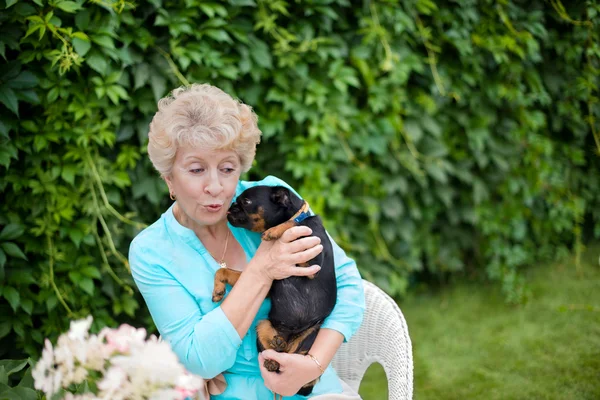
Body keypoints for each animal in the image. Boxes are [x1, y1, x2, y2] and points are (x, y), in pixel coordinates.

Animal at [211, 186, 336, 396]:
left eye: (246, 202)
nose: (231, 207)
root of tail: (288, 340)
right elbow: (224, 271)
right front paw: (218, 288)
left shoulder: (312, 265)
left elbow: (292, 223)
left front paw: (274, 231)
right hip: (262, 324)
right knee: (276, 353)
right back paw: (274, 355)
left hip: (312, 334)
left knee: (302, 365)